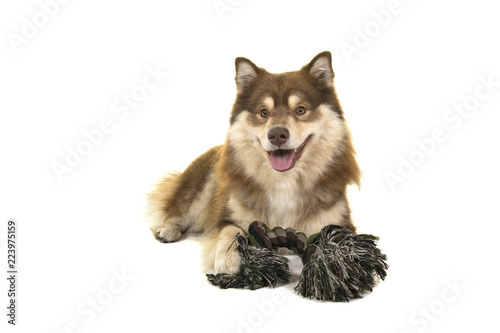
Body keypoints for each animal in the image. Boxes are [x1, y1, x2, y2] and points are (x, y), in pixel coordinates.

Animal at [146, 51, 362, 272]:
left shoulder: (340, 222)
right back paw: (168, 229)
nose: (277, 134)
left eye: (301, 110)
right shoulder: (228, 216)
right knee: (177, 210)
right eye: (263, 112)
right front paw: (228, 259)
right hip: (199, 190)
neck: (283, 182)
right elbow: (230, 231)